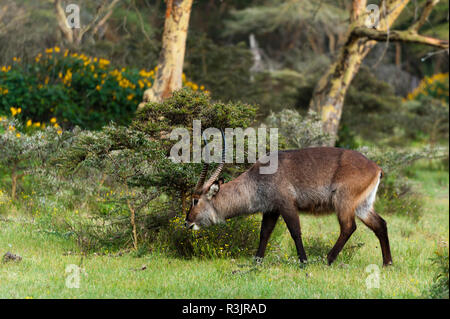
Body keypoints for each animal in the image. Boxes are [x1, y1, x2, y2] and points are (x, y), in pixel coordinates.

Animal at [185, 135, 392, 268]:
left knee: (349, 227)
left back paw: (327, 260)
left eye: (195, 200)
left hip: (343, 201)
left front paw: (303, 262)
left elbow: (295, 232)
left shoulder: (286, 204)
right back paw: (387, 263)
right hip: (363, 206)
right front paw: (257, 261)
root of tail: (376, 167)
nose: (187, 223)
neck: (256, 179)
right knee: (380, 224)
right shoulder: (271, 209)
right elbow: (264, 233)